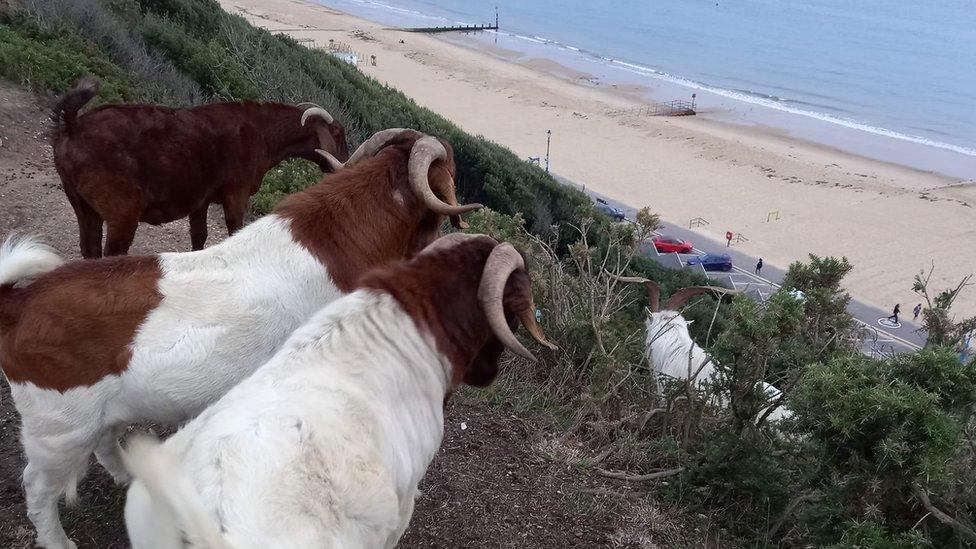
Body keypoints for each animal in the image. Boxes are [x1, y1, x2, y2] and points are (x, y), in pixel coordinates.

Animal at [51, 78, 350, 258]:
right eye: (338, 133)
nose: (344, 162)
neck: (262, 132)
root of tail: (74, 126)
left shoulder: (200, 201)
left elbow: (199, 236)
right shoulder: (236, 194)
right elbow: (234, 228)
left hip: (82, 205)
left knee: (88, 247)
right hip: (122, 212)